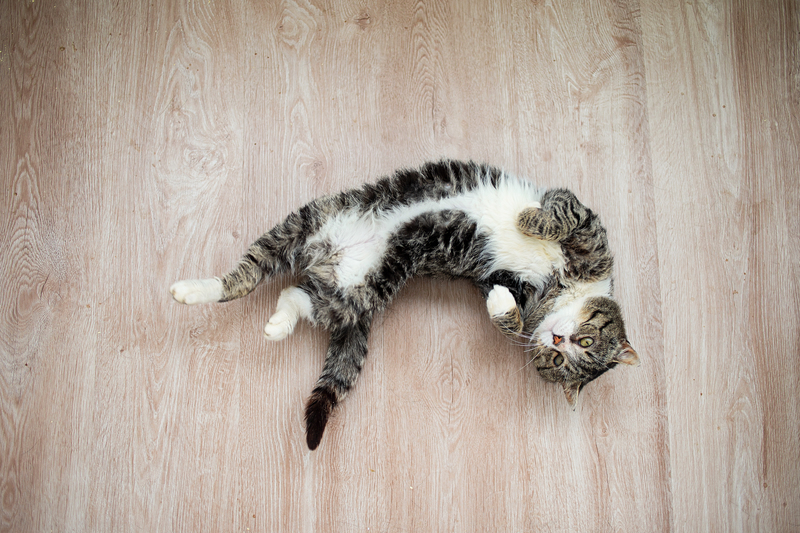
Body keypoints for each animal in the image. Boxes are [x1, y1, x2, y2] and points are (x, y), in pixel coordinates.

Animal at [169, 159, 636, 448]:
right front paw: (527, 220)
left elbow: (511, 319)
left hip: (360, 288)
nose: (558, 339)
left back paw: (275, 324)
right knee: (245, 276)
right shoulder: (584, 222)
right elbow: (560, 216)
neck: (560, 288)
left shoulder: (500, 280)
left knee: (294, 296)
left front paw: (504, 306)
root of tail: (327, 259)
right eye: (584, 344)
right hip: (304, 222)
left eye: (562, 360)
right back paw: (190, 291)